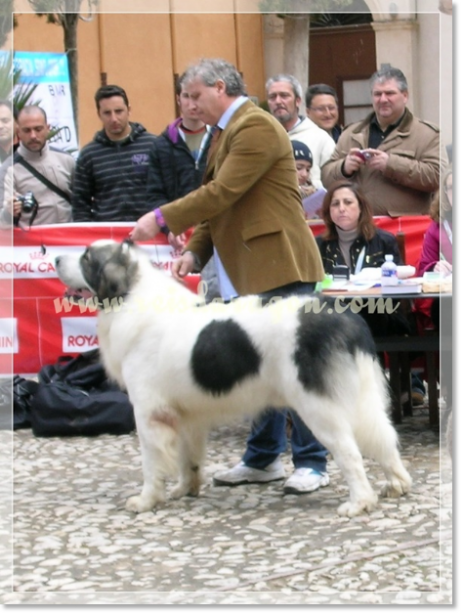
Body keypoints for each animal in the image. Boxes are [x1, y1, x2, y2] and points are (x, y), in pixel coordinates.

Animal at [55, 238, 414, 516]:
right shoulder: (186, 414)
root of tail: (345, 316)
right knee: (383, 435)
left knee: (349, 451)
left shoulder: (149, 412)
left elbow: (152, 462)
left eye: (87, 258)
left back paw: (360, 502)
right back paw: (397, 483)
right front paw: (186, 488)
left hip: (318, 407)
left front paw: (146, 501)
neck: (132, 294)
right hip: (362, 396)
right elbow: (188, 456)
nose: (56, 258)